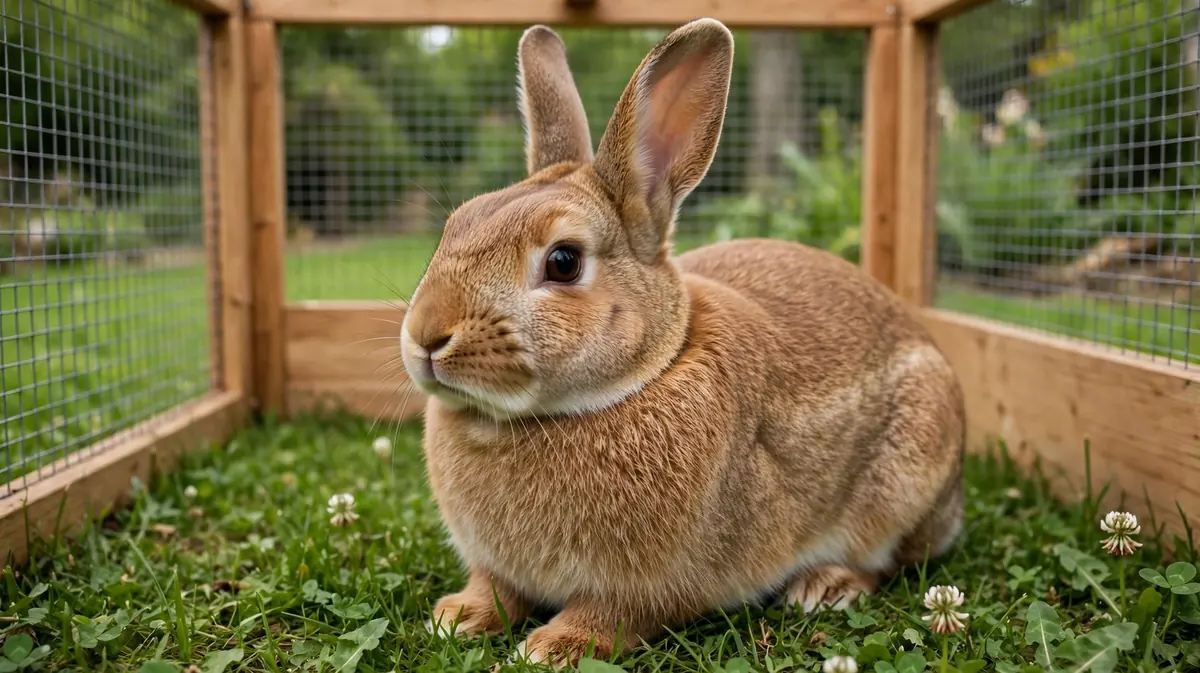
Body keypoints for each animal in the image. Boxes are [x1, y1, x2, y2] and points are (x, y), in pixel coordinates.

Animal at [399, 17, 966, 667]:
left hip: (906, 479)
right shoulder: (499, 568)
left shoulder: (650, 588)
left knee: (891, 558)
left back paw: (826, 586)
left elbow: (613, 616)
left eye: (563, 262)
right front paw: (457, 617)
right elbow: (495, 588)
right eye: (455, 224)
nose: (424, 336)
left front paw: (552, 648)